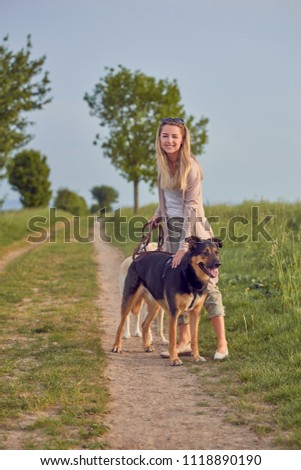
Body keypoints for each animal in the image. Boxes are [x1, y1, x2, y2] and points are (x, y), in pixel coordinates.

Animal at [111, 237, 221, 366]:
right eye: (205, 253)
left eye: (216, 252)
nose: (218, 264)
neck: (189, 276)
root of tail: (138, 257)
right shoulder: (174, 312)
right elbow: (173, 340)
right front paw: (174, 359)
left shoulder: (195, 312)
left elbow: (194, 338)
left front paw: (196, 357)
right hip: (129, 300)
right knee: (122, 323)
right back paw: (117, 346)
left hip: (155, 307)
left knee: (144, 324)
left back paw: (147, 345)